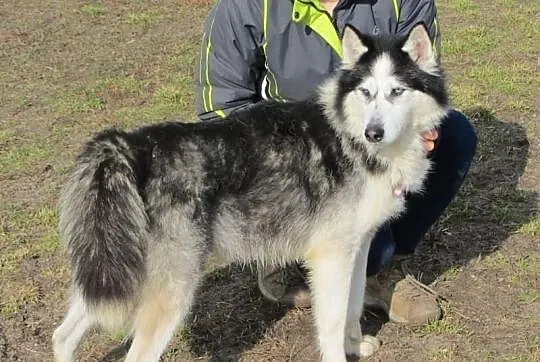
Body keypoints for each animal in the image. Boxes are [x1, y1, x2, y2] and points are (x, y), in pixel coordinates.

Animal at [52, 24, 450, 360]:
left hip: (114, 274)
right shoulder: (331, 256)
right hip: (171, 289)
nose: (373, 133)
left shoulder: (357, 246)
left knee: (62, 335)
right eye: (366, 93)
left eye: (397, 92)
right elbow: (333, 322)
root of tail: (133, 145)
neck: (349, 135)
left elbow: (353, 306)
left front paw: (355, 344)